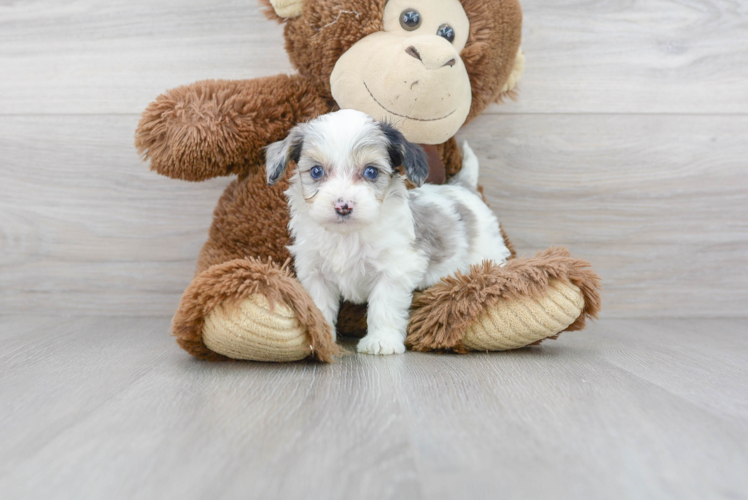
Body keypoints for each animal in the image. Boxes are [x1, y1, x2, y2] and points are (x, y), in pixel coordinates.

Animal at [262, 110, 508, 356]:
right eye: (316, 171)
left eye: (371, 171)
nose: (343, 206)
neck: (347, 236)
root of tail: (464, 188)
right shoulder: (315, 273)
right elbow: (319, 306)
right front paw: (321, 339)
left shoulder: (393, 269)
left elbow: (384, 306)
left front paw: (382, 340)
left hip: (486, 254)